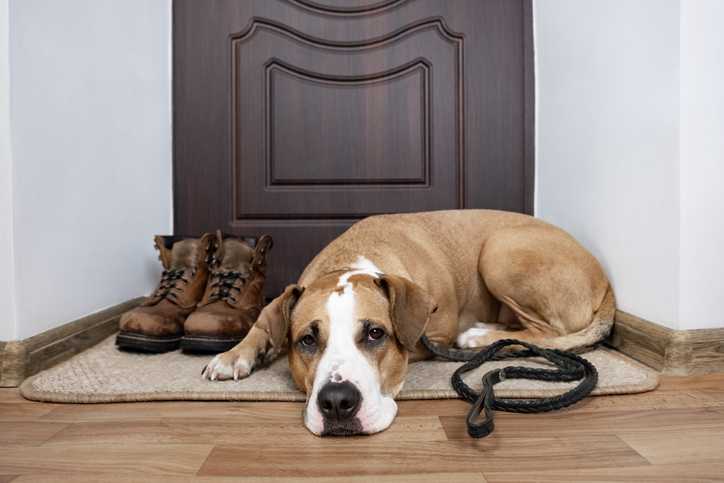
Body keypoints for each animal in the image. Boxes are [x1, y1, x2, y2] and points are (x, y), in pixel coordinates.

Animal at [201, 210, 612, 436]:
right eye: (306, 340)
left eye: (375, 333)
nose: (336, 403)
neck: (355, 262)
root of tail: (605, 281)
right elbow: (261, 326)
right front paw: (234, 355)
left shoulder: (433, 335)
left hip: (501, 250)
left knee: (550, 333)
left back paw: (481, 337)